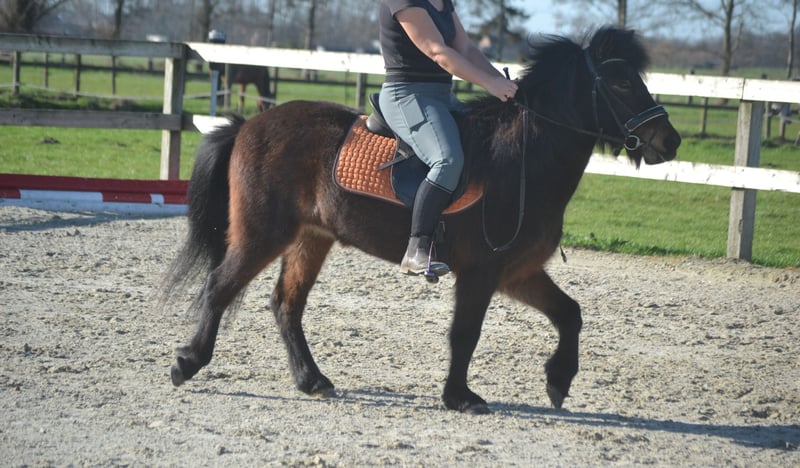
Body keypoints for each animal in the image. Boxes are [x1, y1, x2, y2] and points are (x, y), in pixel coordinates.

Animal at [161, 27, 681, 414]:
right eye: (620, 83)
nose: (669, 140)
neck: (523, 160)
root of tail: (248, 124)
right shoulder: (481, 272)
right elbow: (465, 333)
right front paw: (460, 397)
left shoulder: (518, 272)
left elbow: (570, 313)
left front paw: (558, 380)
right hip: (263, 233)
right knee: (220, 286)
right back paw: (187, 363)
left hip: (310, 238)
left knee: (286, 305)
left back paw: (312, 380)